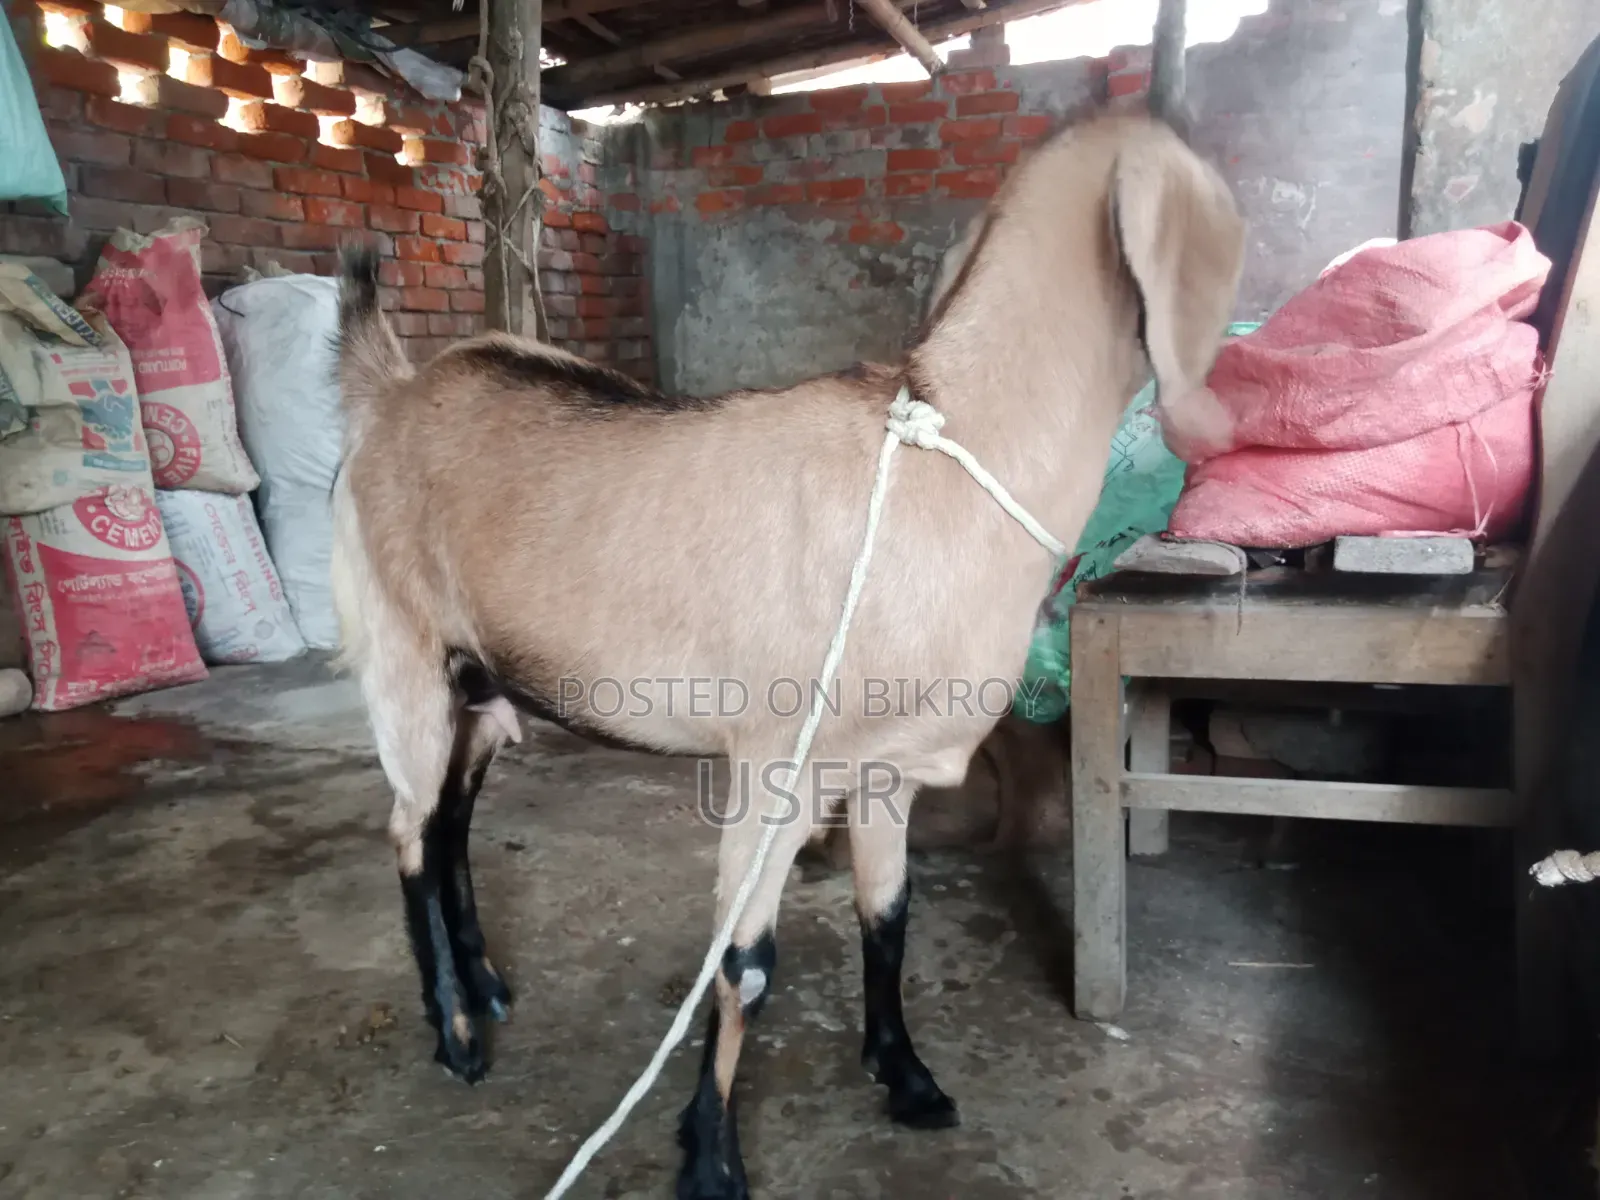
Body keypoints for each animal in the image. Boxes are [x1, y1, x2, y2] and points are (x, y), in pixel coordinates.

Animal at [331, 112, 1244, 1199]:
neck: (948, 459)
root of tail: (391, 388)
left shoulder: (887, 767)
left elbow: (888, 913)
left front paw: (906, 1076)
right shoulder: (775, 763)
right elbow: (746, 965)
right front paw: (710, 1160)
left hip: (480, 683)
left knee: (452, 824)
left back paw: (488, 987)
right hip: (403, 656)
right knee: (408, 833)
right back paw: (458, 1035)